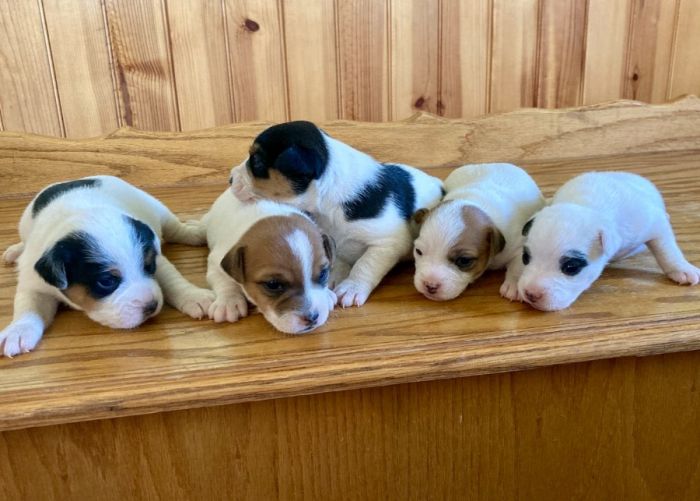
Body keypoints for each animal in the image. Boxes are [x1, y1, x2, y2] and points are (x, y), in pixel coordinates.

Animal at [0, 175, 216, 356]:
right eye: (106, 281)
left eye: (149, 266)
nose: (151, 306)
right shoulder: (33, 283)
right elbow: (28, 305)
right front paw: (19, 330)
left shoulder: (157, 258)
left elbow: (172, 279)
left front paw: (194, 296)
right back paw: (15, 250)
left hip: (156, 208)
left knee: (175, 228)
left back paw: (194, 232)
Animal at [202, 188, 336, 332]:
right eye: (273, 284)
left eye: (323, 274)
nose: (312, 318)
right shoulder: (216, 262)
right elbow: (225, 281)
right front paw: (229, 302)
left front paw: (327, 294)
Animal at [228, 122, 442, 308]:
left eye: (256, 160)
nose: (230, 179)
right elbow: (336, 260)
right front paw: (332, 277)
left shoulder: (387, 243)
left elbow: (365, 264)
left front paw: (351, 287)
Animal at [412, 163, 544, 300]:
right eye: (418, 251)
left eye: (464, 260)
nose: (429, 285)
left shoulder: (518, 246)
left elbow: (517, 266)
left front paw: (513, 285)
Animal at [516, 171, 696, 308]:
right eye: (525, 258)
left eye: (571, 267)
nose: (531, 294)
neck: (586, 206)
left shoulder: (654, 223)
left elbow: (666, 249)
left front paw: (681, 268)